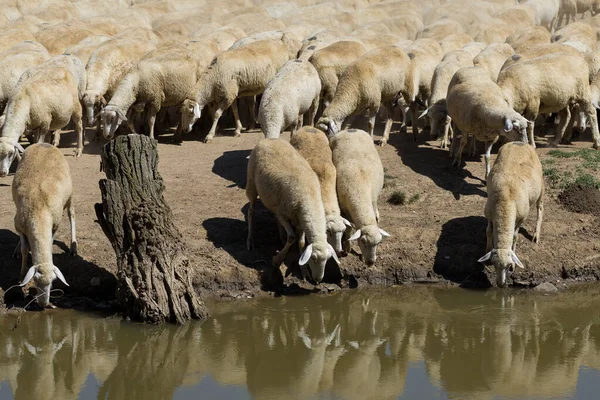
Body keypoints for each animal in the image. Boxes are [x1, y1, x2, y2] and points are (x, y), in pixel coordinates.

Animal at [12, 142, 75, 308]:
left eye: (53, 282)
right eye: (34, 280)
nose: (43, 304)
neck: (39, 213)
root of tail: (43, 143)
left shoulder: (55, 225)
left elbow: (51, 244)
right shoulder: (18, 224)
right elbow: (24, 249)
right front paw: (21, 274)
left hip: (70, 194)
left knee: (72, 214)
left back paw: (74, 247)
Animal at [244, 139, 338, 282]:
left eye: (327, 259)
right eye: (313, 259)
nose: (318, 280)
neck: (309, 199)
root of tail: (268, 139)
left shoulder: (300, 220)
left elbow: (301, 242)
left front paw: (304, 271)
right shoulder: (283, 214)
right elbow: (292, 237)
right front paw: (277, 260)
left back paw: (281, 236)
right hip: (251, 183)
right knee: (251, 212)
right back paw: (250, 240)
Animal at [328, 128, 390, 266]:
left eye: (379, 243)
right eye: (363, 242)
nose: (370, 262)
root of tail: (352, 129)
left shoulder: (372, 199)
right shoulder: (344, 209)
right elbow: (348, 229)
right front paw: (347, 247)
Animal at [478, 141, 544, 288]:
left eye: (508, 266)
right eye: (494, 264)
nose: (500, 284)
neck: (505, 201)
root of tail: (520, 142)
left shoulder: (521, 218)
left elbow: (514, 236)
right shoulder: (489, 214)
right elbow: (488, 231)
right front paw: (487, 250)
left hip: (542, 186)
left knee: (540, 208)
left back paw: (536, 235)